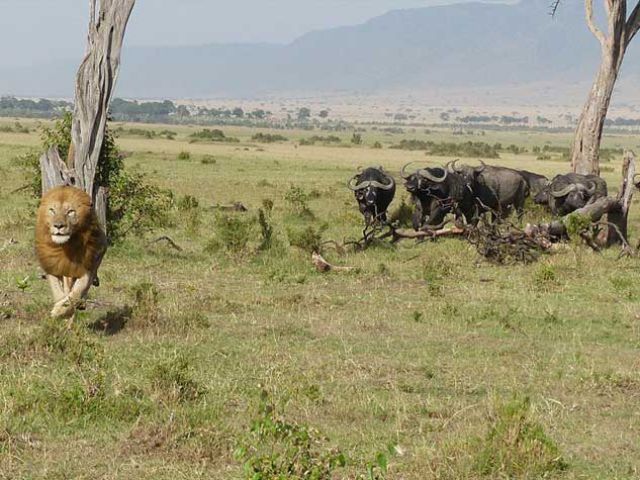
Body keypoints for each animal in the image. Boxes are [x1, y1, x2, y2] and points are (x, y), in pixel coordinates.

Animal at [35, 186, 107, 320]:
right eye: (52, 210)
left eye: (70, 212)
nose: (58, 226)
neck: (66, 246)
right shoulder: (52, 267)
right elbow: (57, 291)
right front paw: (59, 308)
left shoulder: (87, 267)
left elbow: (78, 290)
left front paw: (62, 309)